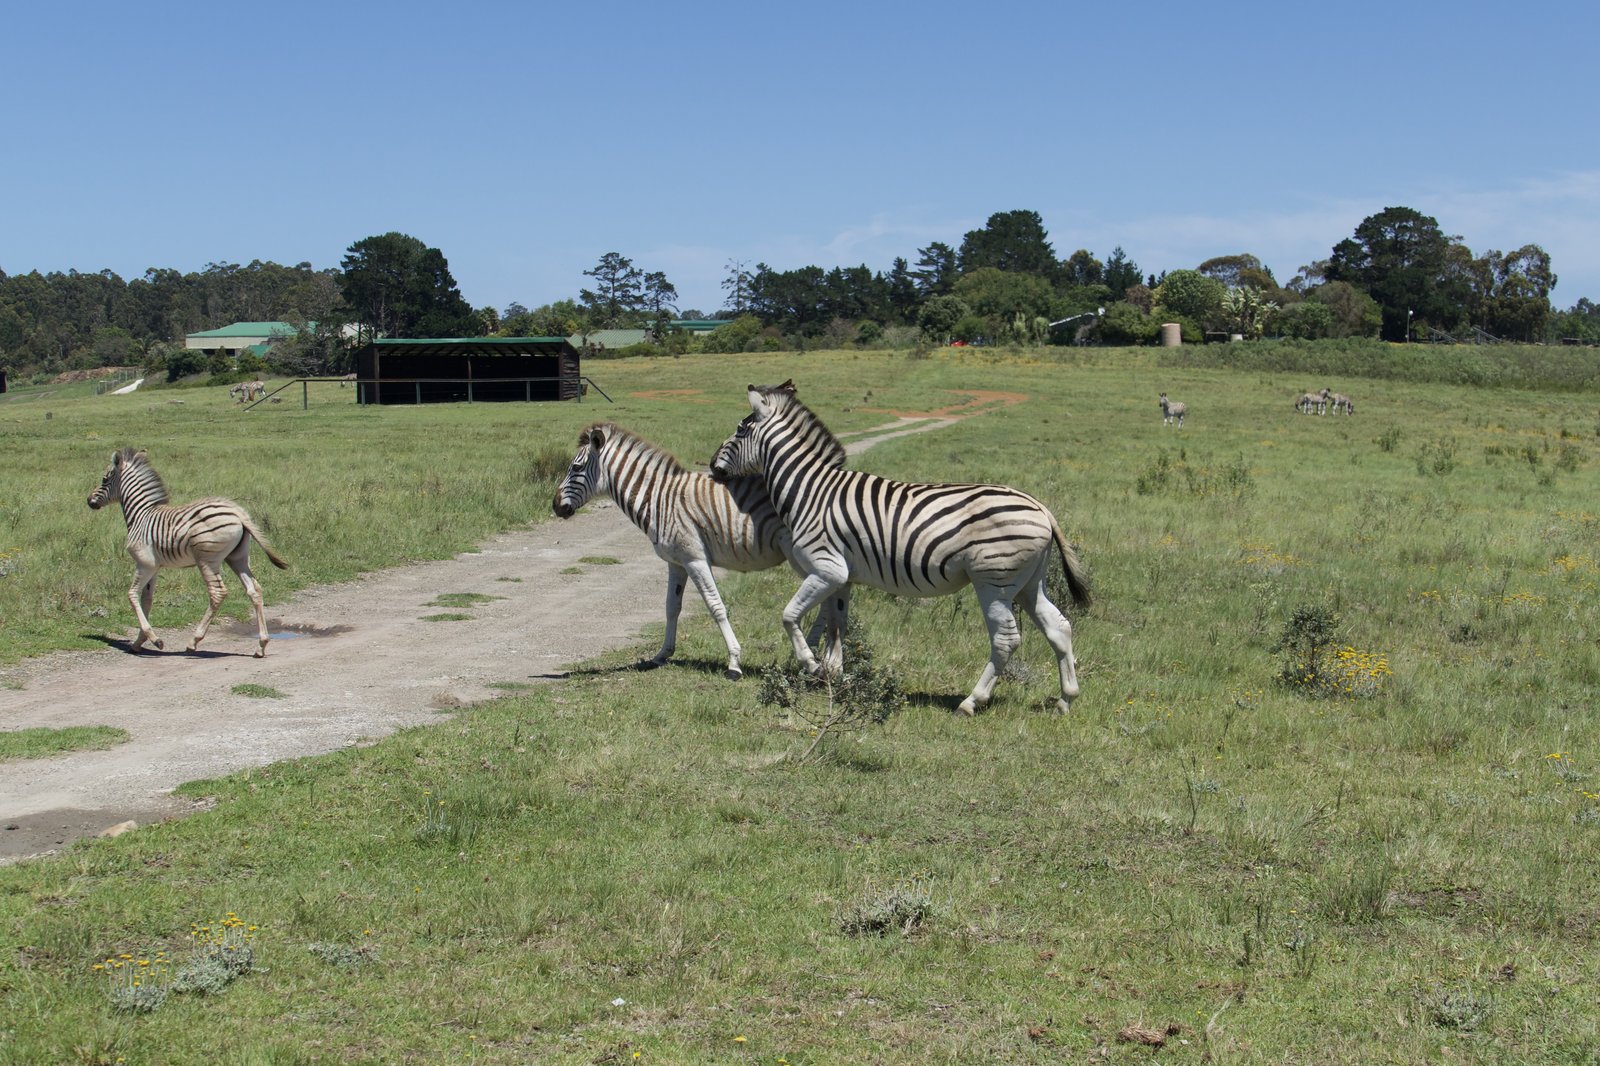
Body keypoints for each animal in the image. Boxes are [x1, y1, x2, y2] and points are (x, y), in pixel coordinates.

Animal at [88, 448, 288, 656]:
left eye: (104, 479)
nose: (89, 501)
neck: (141, 516)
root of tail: (238, 513)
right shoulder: (154, 566)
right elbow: (147, 599)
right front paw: (139, 641)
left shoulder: (144, 562)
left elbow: (132, 595)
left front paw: (154, 639)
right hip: (238, 558)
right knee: (254, 590)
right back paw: (261, 645)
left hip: (207, 560)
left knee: (218, 593)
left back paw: (194, 641)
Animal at [552, 422, 844, 680]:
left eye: (575, 467)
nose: (555, 506)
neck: (658, 499)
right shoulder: (676, 562)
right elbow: (671, 606)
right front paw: (662, 654)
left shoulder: (695, 558)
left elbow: (716, 606)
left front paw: (734, 662)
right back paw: (819, 651)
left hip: (804, 554)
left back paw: (818, 654)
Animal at [709, 382, 1091, 715]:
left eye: (741, 430)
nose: (712, 467)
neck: (810, 491)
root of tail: (1040, 507)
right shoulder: (843, 578)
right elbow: (837, 626)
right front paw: (836, 676)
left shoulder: (827, 568)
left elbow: (789, 616)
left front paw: (813, 666)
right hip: (1027, 583)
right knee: (1058, 627)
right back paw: (1065, 700)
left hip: (994, 582)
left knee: (1006, 639)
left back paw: (971, 702)